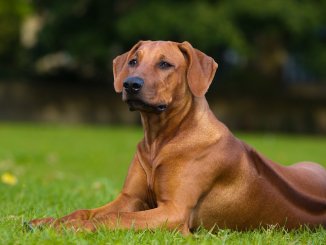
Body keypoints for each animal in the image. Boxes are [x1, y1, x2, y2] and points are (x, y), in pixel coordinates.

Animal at [29, 40, 326, 234]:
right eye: (133, 61)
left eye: (165, 64)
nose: (130, 84)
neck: (160, 140)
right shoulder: (129, 197)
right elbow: (89, 210)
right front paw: (50, 221)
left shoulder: (174, 212)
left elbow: (114, 218)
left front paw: (72, 228)